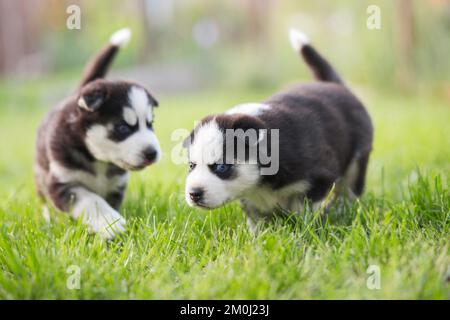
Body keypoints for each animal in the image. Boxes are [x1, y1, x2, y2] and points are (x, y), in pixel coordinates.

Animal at [35, 28, 162, 239]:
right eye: (123, 127)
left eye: (150, 124)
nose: (152, 153)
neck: (99, 161)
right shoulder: (62, 183)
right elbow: (91, 199)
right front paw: (109, 222)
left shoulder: (116, 185)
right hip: (41, 175)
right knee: (43, 199)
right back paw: (48, 217)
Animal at [183, 29, 372, 230]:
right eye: (191, 165)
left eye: (221, 167)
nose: (194, 193)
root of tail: (336, 85)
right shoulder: (251, 201)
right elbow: (256, 221)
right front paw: (258, 236)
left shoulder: (320, 177)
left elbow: (306, 210)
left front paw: (305, 230)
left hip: (357, 161)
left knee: (350, 189)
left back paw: (345, 208)